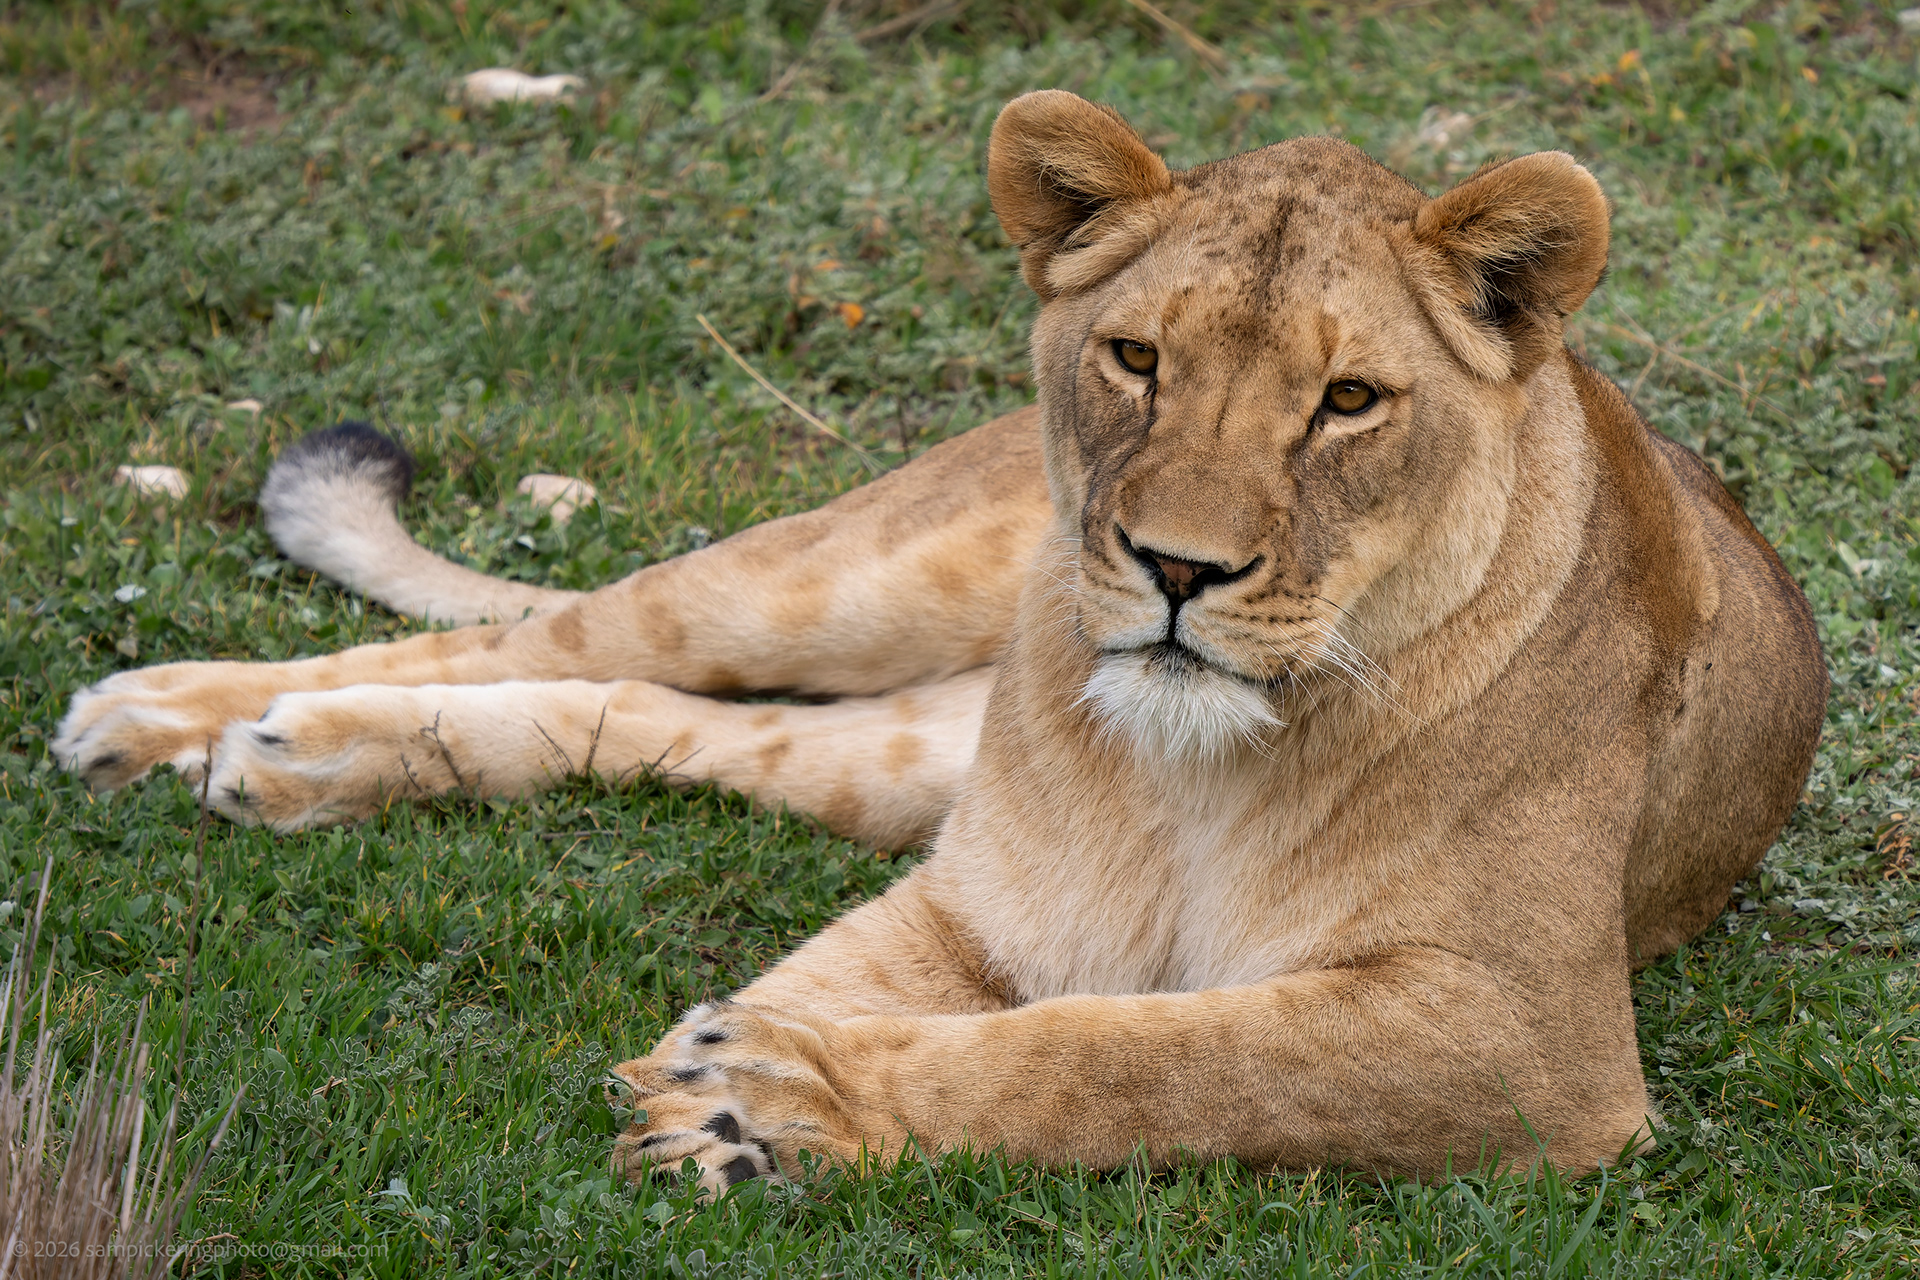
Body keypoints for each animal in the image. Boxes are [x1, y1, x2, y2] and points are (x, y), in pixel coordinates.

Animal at [55, 90, 1826, 1187]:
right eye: (1136, 359)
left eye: (1347, 402)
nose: (1175, 569)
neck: (1197, 771)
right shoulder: (981, 905)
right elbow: (908, 995)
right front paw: (738, 1082)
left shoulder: (1535, 1037)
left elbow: (1144, 1055)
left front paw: (771, 1099)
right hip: (846, 582)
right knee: (565, 632)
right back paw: (184, 717)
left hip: (898, 753)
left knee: (675, 713)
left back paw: (287, 759)